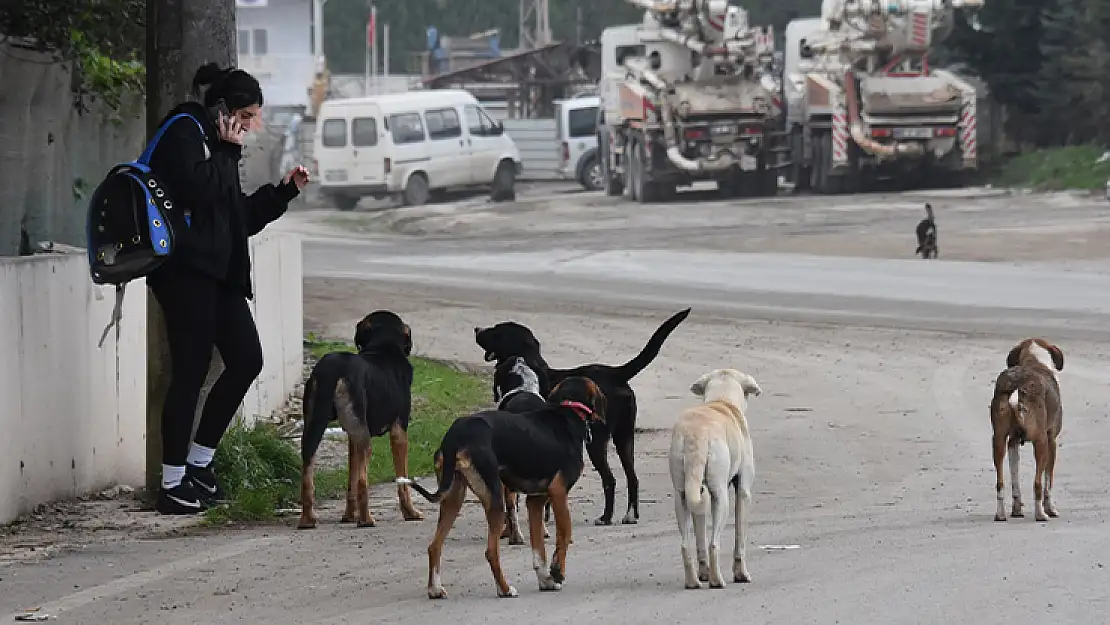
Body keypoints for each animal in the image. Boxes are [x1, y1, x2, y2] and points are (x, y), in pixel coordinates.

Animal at [297, 310, 421, 530]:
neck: (384, 347)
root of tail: (332, 368)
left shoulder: (351, 437)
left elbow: (351, 481)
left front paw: (348, 516)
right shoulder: (399, 431)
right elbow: (402, 481)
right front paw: (410, 513)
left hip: (314, 428)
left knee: (307, 474)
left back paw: (307, 519)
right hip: (365, 439)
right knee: (363, 481)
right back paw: (366, 519)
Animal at [399, 377, 608, 599]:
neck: (569, 410)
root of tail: (455, 434)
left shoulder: (535, 501)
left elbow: (538, 549)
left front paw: (545, 580)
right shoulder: (558, 493)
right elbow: (565, 535)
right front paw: (557, 572)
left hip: (453, 497)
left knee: (434, 546)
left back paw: (435, 589)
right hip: (495, 498)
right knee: (491, 551)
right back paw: (505, 589)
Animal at [472, 308, 688, 528]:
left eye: (497, 331)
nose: (477, 329)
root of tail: (616, 374)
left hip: (597, 442)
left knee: (609, 479)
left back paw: (606, 517)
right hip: (625, 437)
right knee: (632, 477)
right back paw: (630, 515)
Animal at [666, 368, 763, 590]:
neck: (722, 400)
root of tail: (696, 434)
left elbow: (700, 536)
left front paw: (704, 573)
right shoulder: (743, 492)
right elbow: (739, 538)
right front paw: (741, 574)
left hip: (682, 495)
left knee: (686, 544)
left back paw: (694, 581)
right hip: (720, 498)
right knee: (714, 543)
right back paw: (717, 580)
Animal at [990, 337, 1065, 523]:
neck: (1034, 360)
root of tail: (1018, 384)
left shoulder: (1012, 442)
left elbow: (1015, 479)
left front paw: (1017, 509)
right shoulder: (1051, 440)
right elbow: (1048, 481)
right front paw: (1051, 509)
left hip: (998, 440)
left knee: (1000, 482)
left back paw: (1000, 514)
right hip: (1041, 442)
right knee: (1037, 483)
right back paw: (1041, 514)